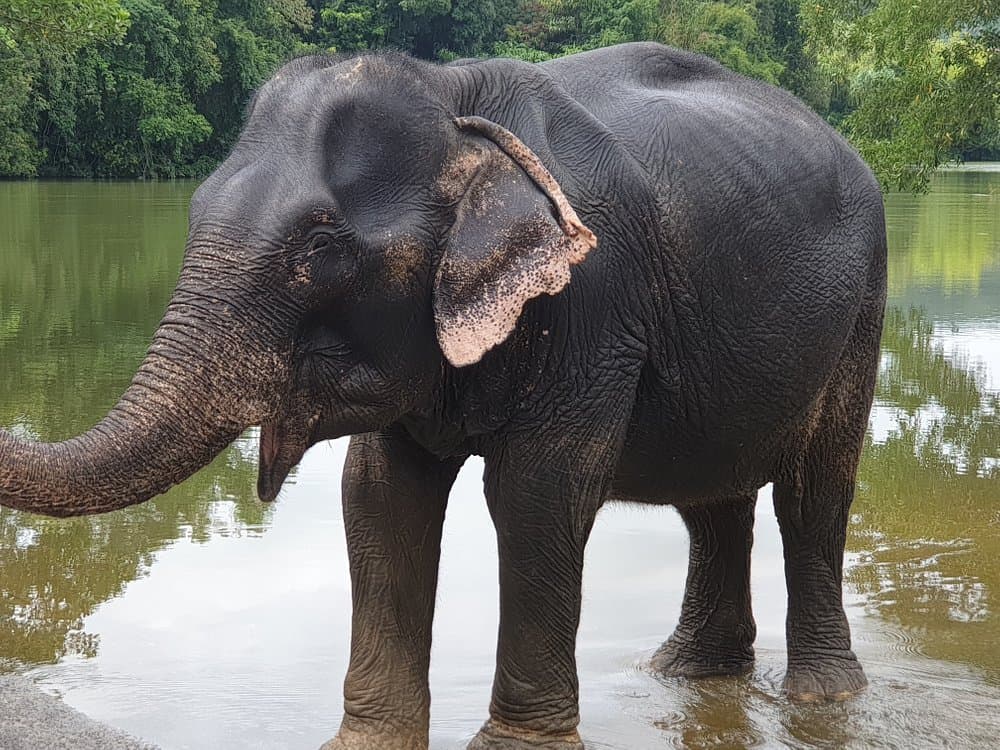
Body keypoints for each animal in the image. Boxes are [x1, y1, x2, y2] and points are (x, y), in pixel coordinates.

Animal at [0, 42, 886, 749]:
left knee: (813, 490)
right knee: (713, 496)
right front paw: (365, 743)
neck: (454, 100)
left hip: (862, 310)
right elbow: (379, 493)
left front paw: (515, 747)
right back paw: (685, 674)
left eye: (318, 246)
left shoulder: (595, 303)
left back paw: (821, 696)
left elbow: (537, 492)